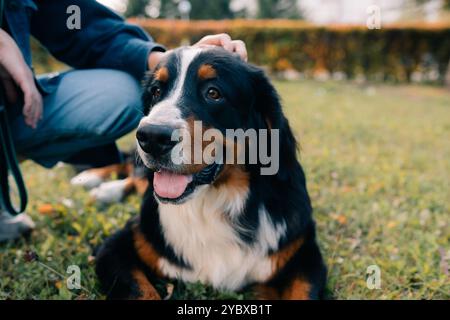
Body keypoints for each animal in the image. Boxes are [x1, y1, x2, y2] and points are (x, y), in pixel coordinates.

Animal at [95, 46, 326, 298]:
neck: (214, 202)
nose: (152, 136)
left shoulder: (304, 256)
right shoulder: (118, 246)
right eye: (156, 91)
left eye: (213, 93)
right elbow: (141, 292)